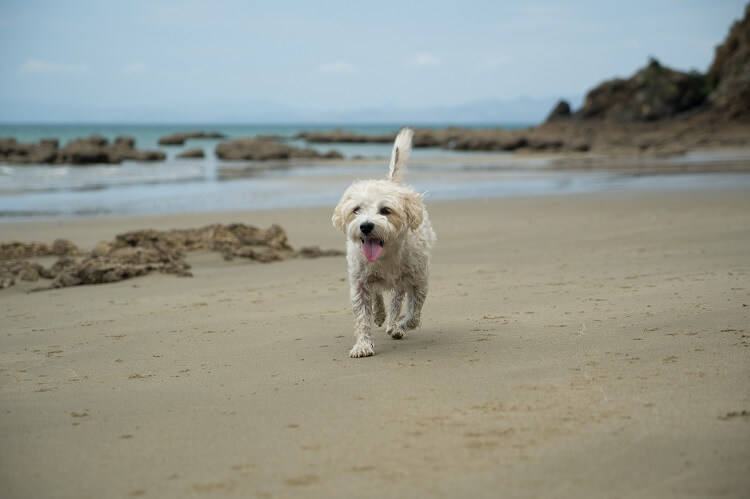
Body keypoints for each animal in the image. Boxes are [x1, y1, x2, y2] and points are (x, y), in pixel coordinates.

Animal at [332, 127, 438, 358]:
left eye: (386, 210)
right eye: (356, 210)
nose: (366, 226)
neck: (386, 255)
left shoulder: (419, 282)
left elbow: (413, 316)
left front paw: (398, 326)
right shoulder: (360, 284)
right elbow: (362, 318)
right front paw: (363, 345)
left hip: (403, 280)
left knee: (397, 300)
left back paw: (392, 321)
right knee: (379, 294)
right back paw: (380, 314)